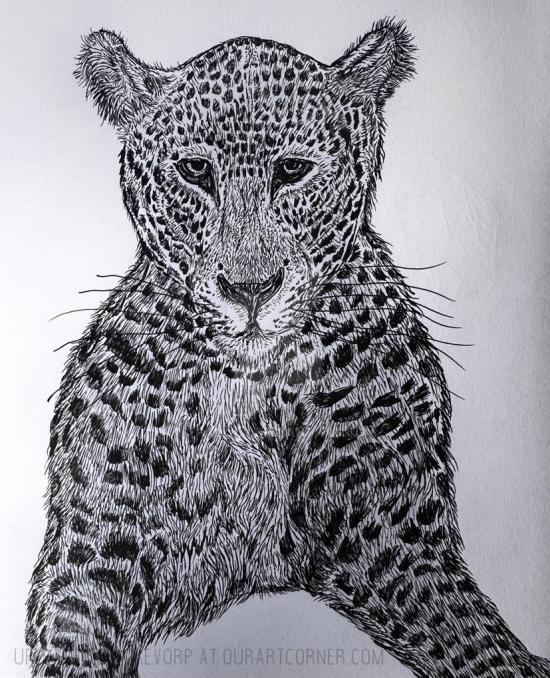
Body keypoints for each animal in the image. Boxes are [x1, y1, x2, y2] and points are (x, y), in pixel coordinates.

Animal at [26, 18, 550, 678]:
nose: (250, 287)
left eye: (294, 170)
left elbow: (478, 645)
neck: (251, 383)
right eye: (195, 170)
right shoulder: (88, 556)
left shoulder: (400, 541)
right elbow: (74, 640)